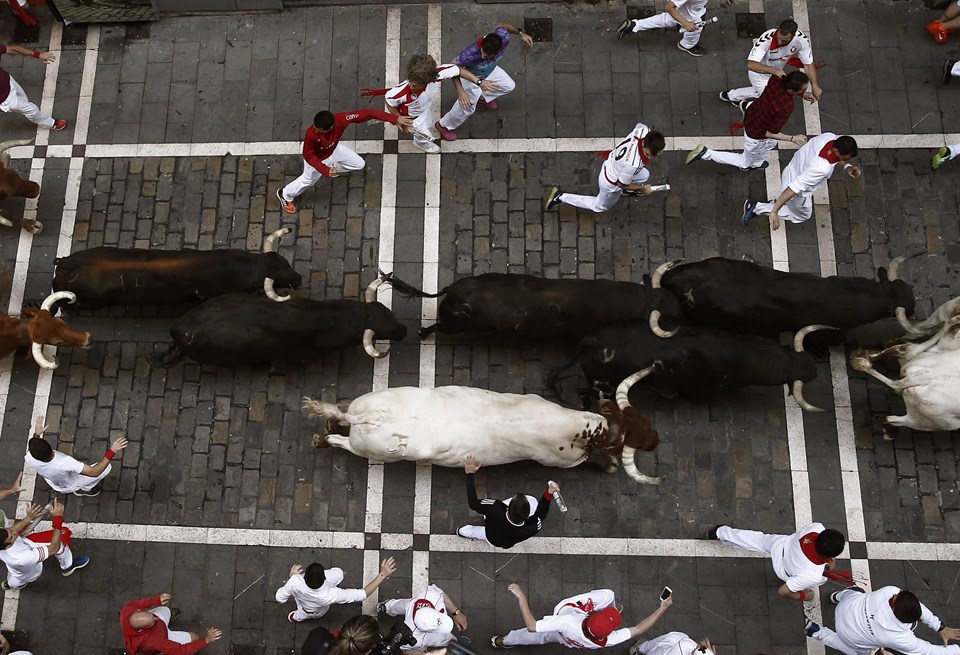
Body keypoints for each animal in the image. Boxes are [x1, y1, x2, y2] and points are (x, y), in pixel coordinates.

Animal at [304, 386, 664, 484]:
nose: (657, 440)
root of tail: (370, 417)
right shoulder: (562, 461)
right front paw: (609, 465)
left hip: (369, 405)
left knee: (341, 413)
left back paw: (329, 423)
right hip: (371, 449)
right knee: (342, 442)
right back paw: (323, 439)